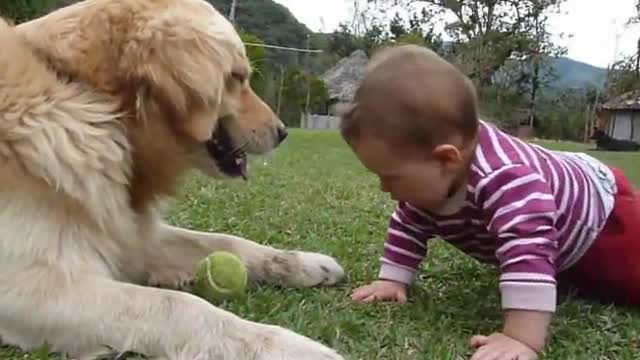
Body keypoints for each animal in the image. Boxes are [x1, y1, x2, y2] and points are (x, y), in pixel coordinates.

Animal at [0, 1, 344, 358]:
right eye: (236, 77)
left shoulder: (131, 234)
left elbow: (224, 241)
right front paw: (288, 345)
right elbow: (178, 305)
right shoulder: (28, 287)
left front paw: (301, 262)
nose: (282, 132)